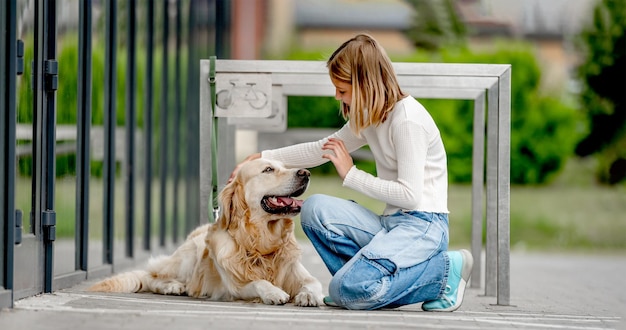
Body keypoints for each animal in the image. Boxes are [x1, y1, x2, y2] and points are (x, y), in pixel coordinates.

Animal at [89, 159, 322, 306]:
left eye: (285, 166)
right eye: (268, 170)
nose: (306, 173)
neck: (261, 243)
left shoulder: (300, 273)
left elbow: (313, 282)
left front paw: (308, 296)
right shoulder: (235, 287)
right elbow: (258, 282)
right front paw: (274, 292)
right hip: (189, 254)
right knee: (151, 276)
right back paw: (173, 286)